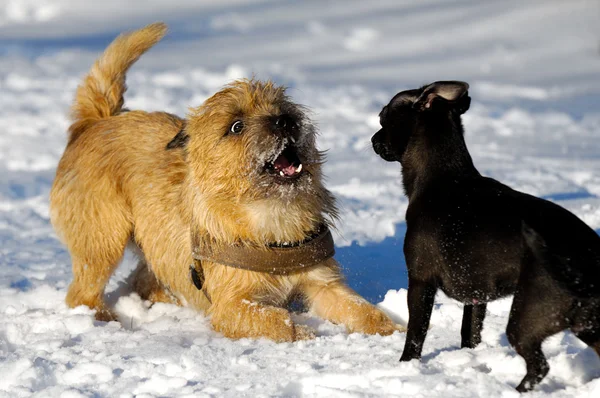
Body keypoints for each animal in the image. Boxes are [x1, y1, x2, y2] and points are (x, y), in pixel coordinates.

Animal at [49, 23, 400, 340]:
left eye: (282, 107)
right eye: (236, 126)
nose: (285, 120)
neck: (272, 216)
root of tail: (98, 120)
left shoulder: (322, 282)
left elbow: (361, 310)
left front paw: (394, 330)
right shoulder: (232, 304)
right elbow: (276, 319)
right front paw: (303, 333)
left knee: (142, 279)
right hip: (102, 239)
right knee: (82, 291)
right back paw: (103, 318)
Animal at [370, 81, 600, 392]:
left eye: (383, 116)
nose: (373, 139)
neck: (440, 176)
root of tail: (583, 258)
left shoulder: (420, 281)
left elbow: (416, 333)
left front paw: (406, 366)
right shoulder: (477, 297)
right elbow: (470, 333)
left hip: (528, 317)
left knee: (539, 365)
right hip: (588, 324)